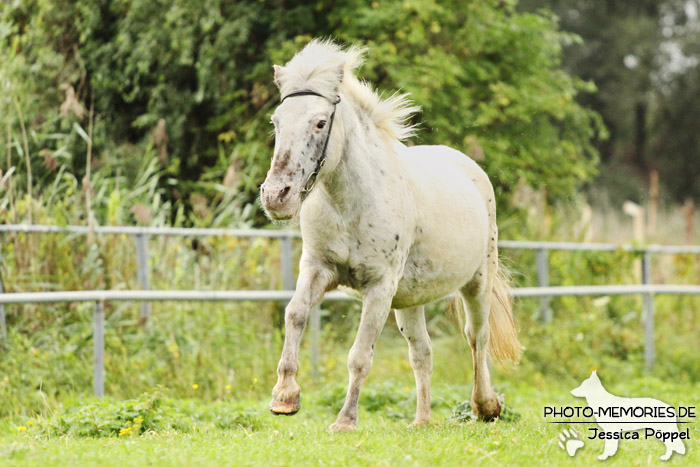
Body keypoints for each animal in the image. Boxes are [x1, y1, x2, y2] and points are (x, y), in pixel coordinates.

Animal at [260, 38, 524, 434]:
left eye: (320, 122)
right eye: (276, 122)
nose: (276, 196)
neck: (350, 204)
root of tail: (472, 169)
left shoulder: (380, 287)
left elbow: (359, 355)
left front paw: (345, 421)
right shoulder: (317, 268)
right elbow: (295, 314)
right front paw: (285, 397)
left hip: (477, 282)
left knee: (476, 337)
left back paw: (485, 406)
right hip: (410, 301)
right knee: (422, 353)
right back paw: (422, 421)